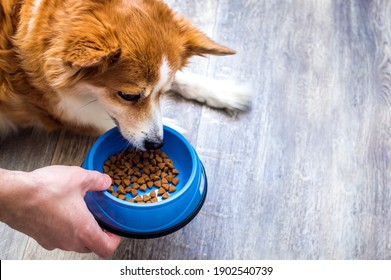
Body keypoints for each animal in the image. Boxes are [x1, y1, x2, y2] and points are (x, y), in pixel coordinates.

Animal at [0, 0, 250, 150]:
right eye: (128, 96)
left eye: (164, 93)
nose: (157, 145)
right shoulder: (54, 110)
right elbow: (109, 123)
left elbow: (181, 78)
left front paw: (222, 91)